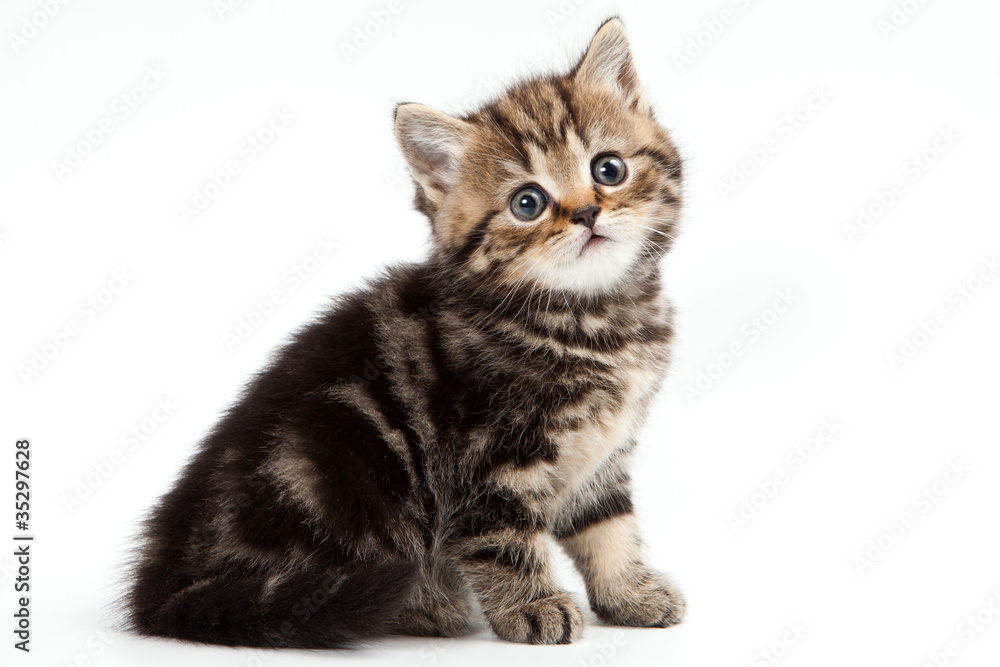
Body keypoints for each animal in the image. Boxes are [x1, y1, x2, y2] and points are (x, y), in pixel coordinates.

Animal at [125, 17, 688, 648]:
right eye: (528, 203)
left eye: (607, 169)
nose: (588, 213)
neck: (594, 318)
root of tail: (163, 591)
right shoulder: (484, 459)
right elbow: (502, 539)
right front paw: (533, 605)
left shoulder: (603, 456)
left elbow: (608, 525)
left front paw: (630, 593)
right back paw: (425, 607)